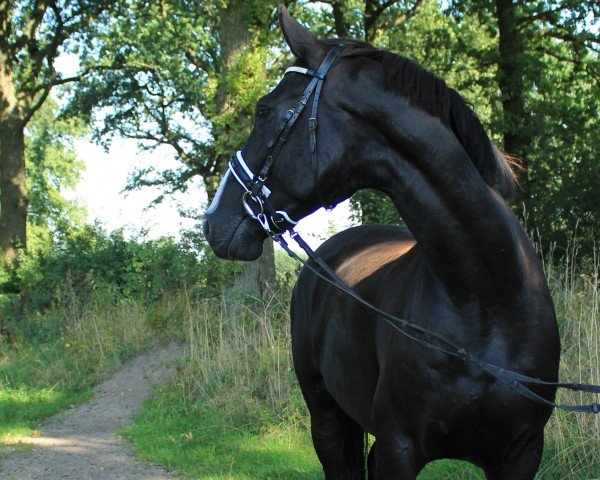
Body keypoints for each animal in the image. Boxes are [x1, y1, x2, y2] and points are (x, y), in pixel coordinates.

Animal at [204, 7, 560, 480]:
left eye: (264, 111)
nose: (212, 220)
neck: (487, 300)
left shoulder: (520, 455)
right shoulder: (399, 448)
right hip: (326, 418)